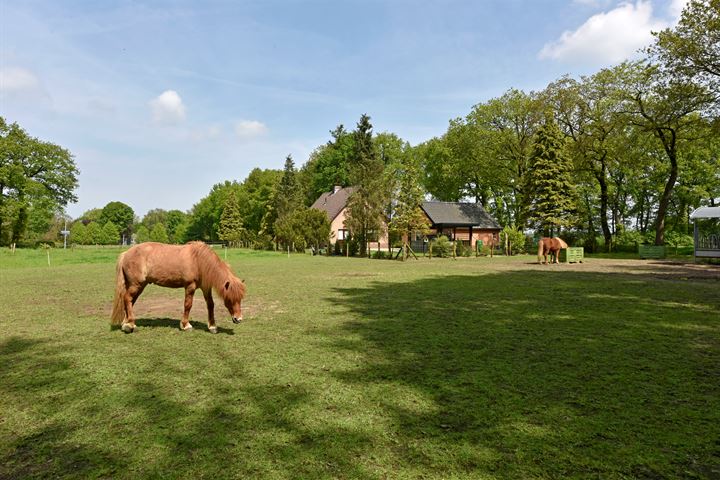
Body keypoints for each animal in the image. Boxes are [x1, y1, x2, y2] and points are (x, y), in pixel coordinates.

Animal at [111, 240, 246, 334]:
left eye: (240, 299)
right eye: (229, 299)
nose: (238, 319)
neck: (199, 261)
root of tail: (126, 253)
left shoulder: (206, 287)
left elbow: (210, 305)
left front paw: (212, 326)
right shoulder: (190, 286)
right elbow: (188, 305)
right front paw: (186, 325)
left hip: (140, 286)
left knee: (130, 301)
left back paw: (126, 323)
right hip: (136, 285)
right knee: (127, 299)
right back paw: (130, 325)